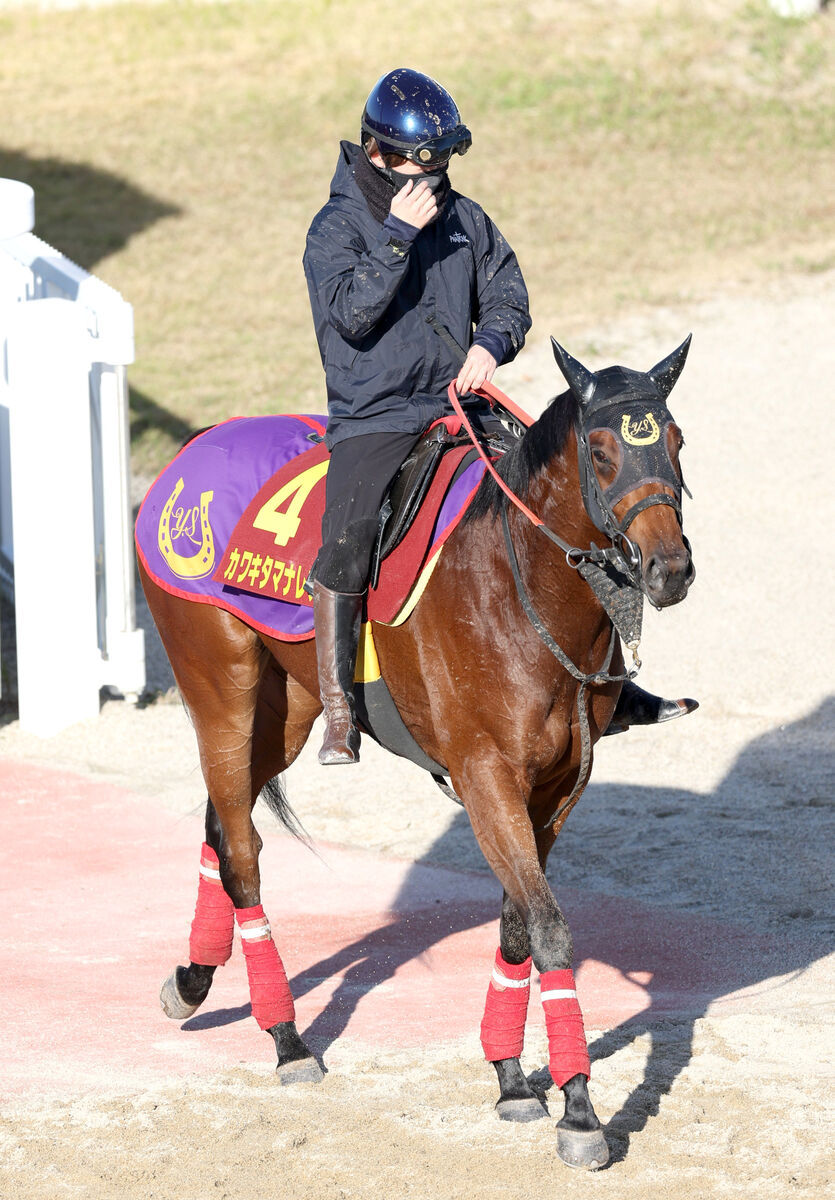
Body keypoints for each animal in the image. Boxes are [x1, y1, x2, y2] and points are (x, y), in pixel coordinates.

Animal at [140, 338, 695, 1171]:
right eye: (600, 453)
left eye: (675, 442)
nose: (669, 570)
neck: (515, 587)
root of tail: (189, 457)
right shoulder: (485, 775)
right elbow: (549, 928)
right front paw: (578, 1111)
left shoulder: (557, 786)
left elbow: (517, 924)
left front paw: (509, 1076)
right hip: (220, 686)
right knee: (241, 851)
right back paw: (287, 1037)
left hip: (288, 705)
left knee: (219, 823)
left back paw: (194, 979)